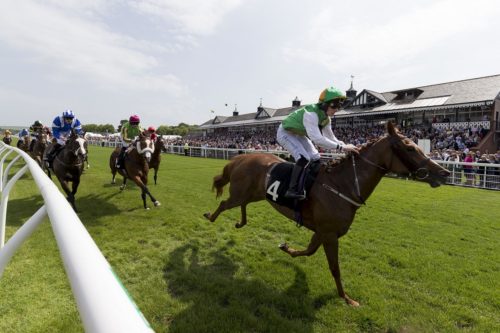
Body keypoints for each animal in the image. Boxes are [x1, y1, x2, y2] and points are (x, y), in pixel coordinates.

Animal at [203, 122, 450, 306]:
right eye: (410, 148)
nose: (444, 172)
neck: (343, 184)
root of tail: (242, 157)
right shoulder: (330, 234)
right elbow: (335, 268)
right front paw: (347, 298)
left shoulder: (322, 231)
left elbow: (309, 251)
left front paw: (287, 249)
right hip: (241, 194)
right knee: (224, 203)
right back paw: (210, 217)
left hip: (255, 194)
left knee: (240, 204)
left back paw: (240, 222)